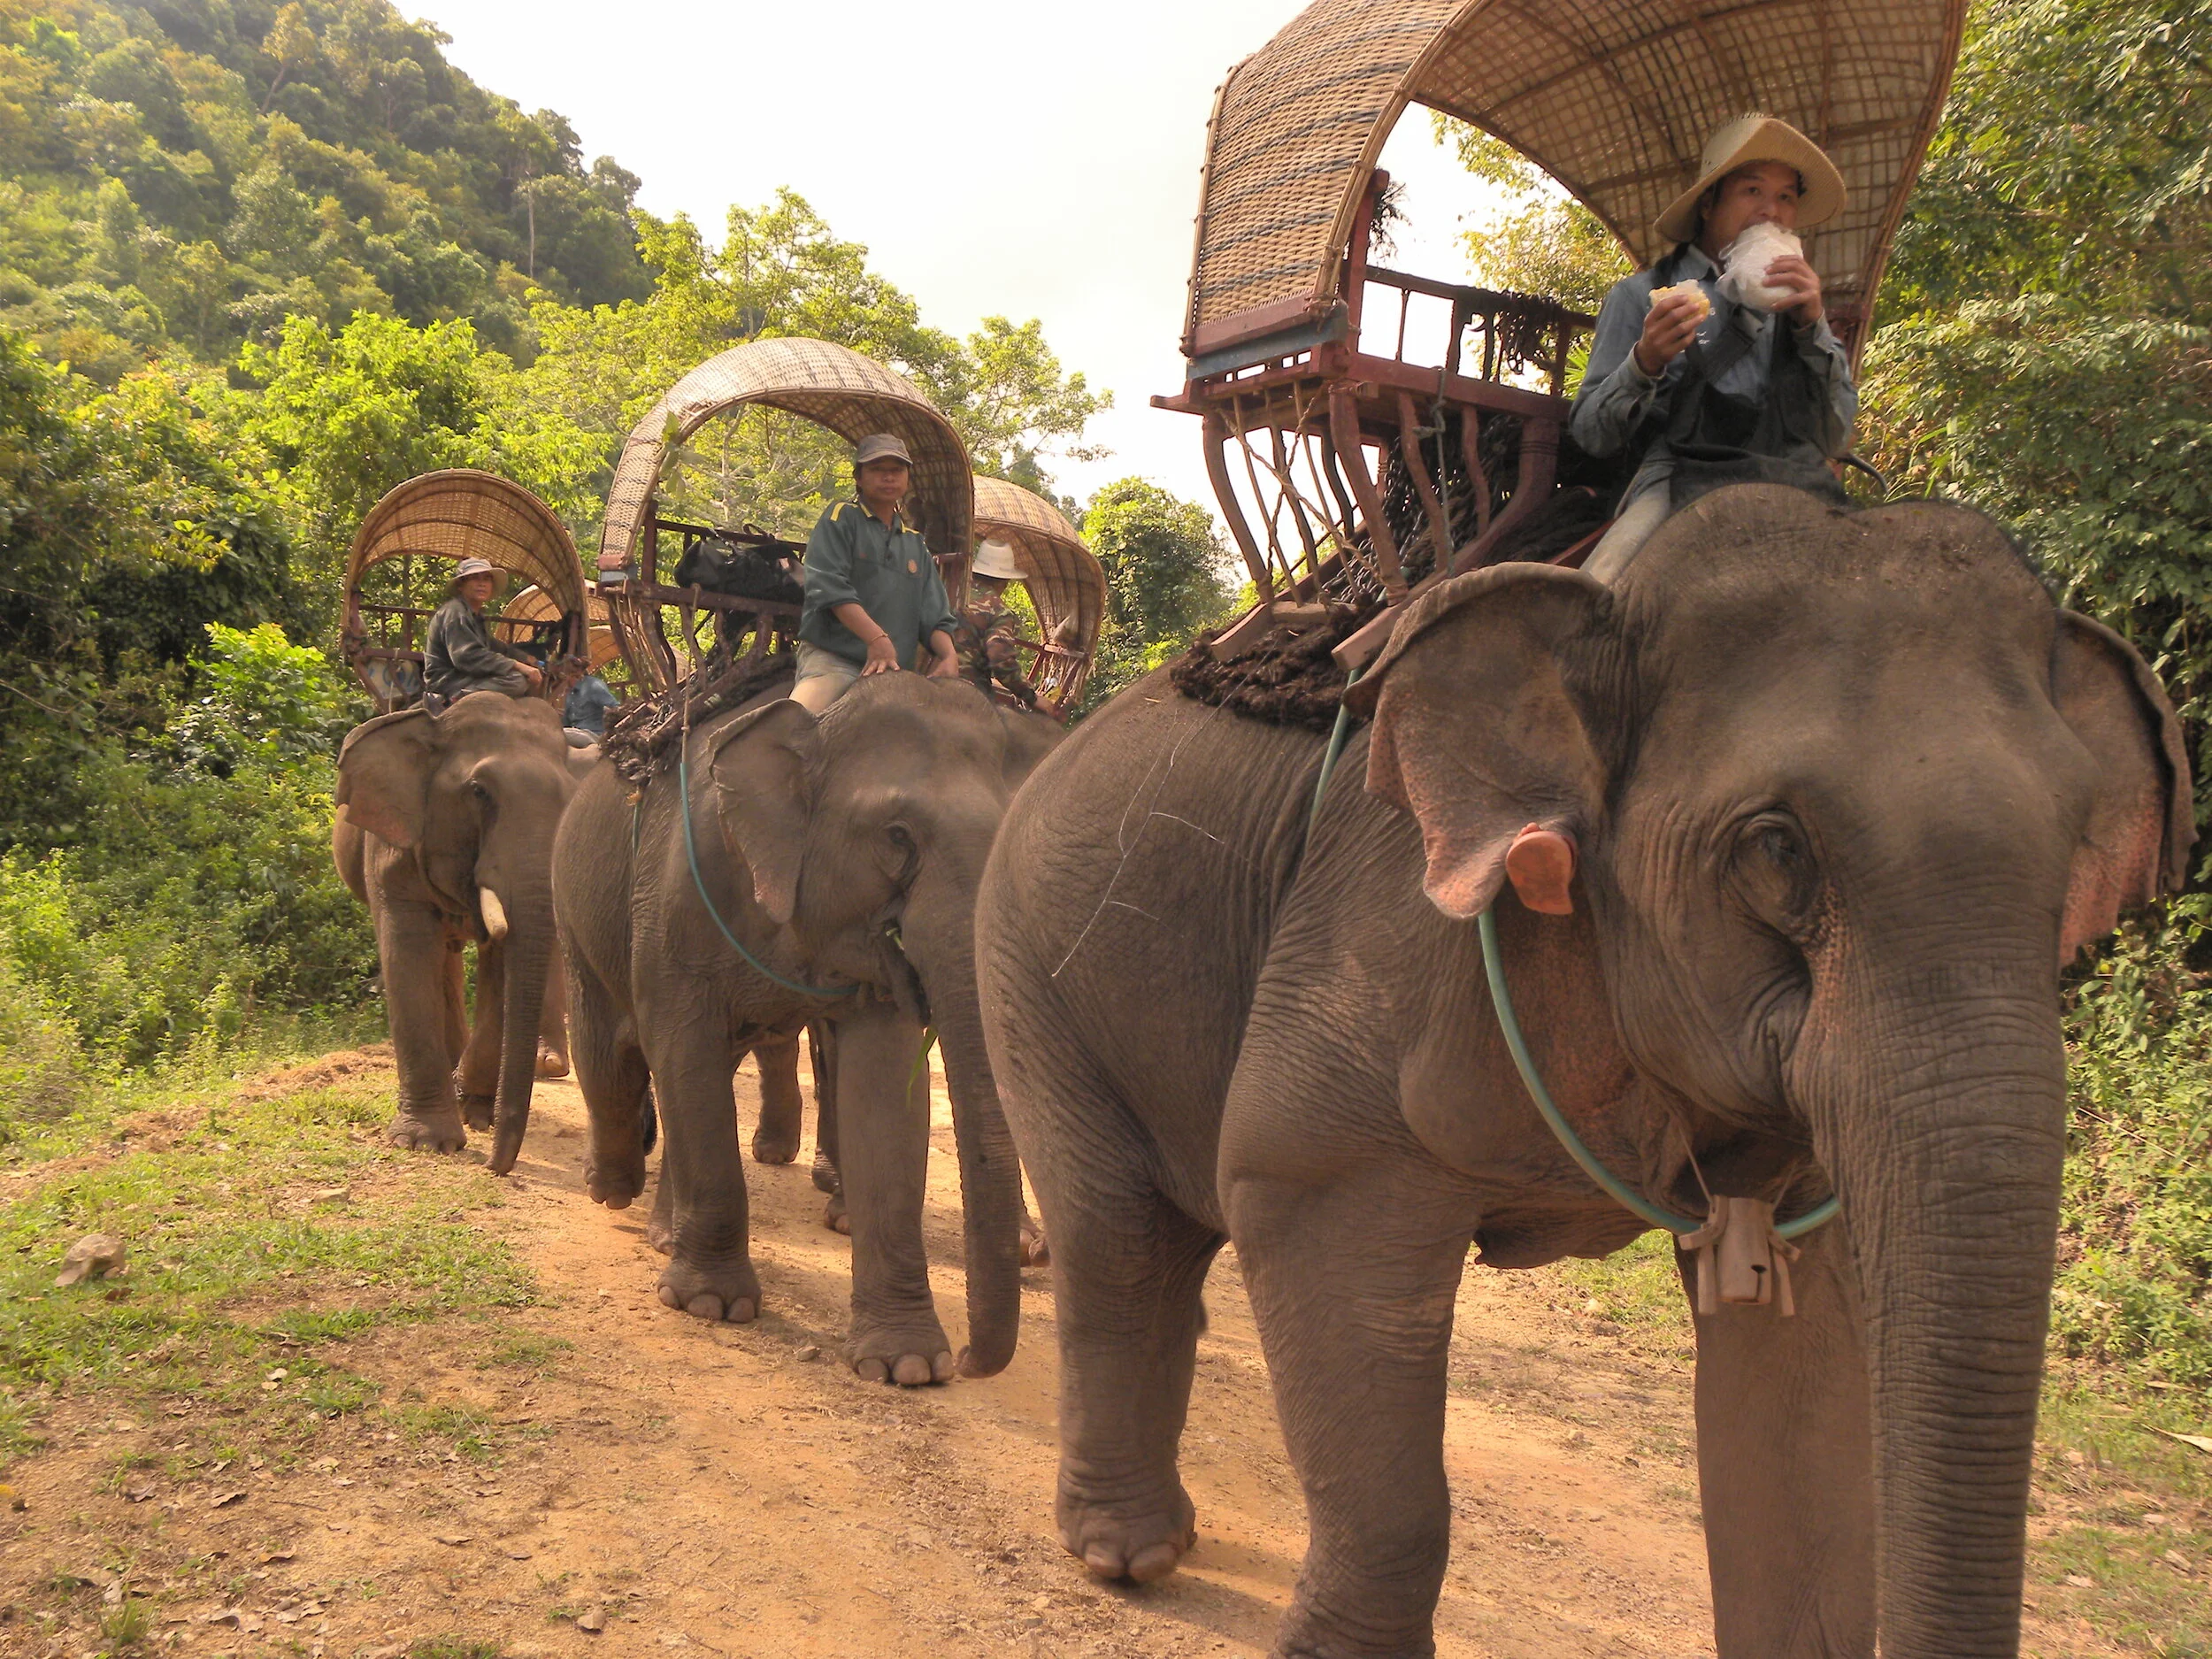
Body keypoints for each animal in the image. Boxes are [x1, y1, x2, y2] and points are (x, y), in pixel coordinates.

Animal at [333, 693, 587, 1173]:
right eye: (479, 792)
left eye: (570, 801)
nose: (496, 1168)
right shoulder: (394, 845)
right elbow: (408, 957)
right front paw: (426, 1142)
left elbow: (502, 964)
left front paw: (476, 1113)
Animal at [554, 671, 1058, 1384]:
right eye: (897, 836)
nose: (966, 1359)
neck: (822, 722)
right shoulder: (680, 894)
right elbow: (680, 1047)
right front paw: (712, 1305)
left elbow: (883, 1089)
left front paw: (906, 1365)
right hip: (576, 907)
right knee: (611, 1055)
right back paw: (612, 1190)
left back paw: (663, 1232)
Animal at [975, 487, 2191, 1657]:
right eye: (1777, 847)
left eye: (2077, 847)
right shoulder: (1375, 937)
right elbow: (1303, 1212)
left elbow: (1803, 1377)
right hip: (1029, 968)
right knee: (1119, 1241)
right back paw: (1128, 1556)